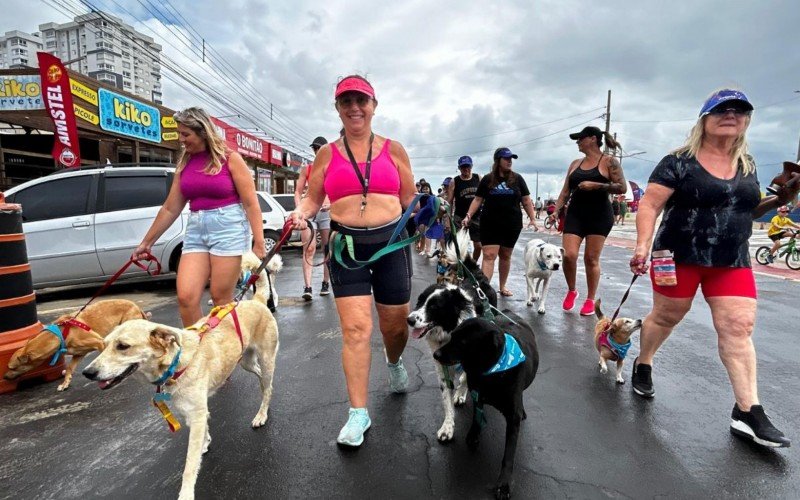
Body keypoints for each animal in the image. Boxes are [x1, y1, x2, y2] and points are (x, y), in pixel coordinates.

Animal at [4, 296, 148, 390]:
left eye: (13, 368)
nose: (4, 377)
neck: (61, 335)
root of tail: (136, 306)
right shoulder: (78, 354)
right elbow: (69, 368)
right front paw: (65, 383)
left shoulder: (100, 343)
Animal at [82, 296, 278, 500]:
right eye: (104, 345)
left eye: (123, 346)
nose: (87, 372)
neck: (175, 364)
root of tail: (255, 301)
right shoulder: (192, 413)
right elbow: (203, 432)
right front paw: (205, 442)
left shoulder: (196, 413)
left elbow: (189, 465)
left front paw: (186, 493)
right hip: (246, 362)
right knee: (263, 382)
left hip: (266, 360)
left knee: (267, 386)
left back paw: (261, 414)